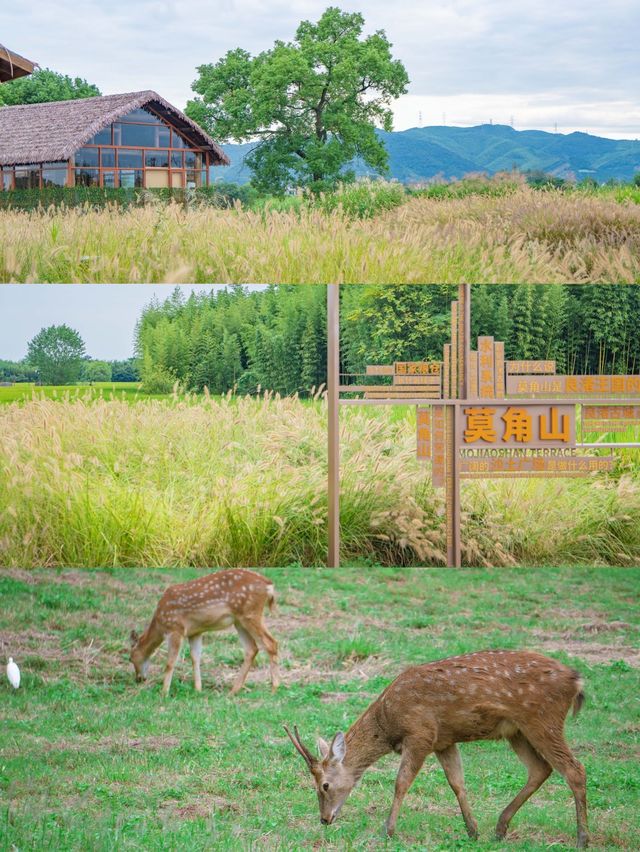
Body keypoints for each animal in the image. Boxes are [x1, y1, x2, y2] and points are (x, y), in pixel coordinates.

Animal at [130, 568, 280, 696]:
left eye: (130, 658)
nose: (138, 679)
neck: (159, 624)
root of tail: (269, 586)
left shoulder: (175, 628)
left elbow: (170, 662)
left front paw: (164, 693)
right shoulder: (195, 632)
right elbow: (195, 658)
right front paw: (198, 689)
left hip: (250, 614)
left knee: (271, 643)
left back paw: (274, 689)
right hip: (239, 621)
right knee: (252, 649)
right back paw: (233, 691)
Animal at [288, 652, 588, 844]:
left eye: (324, 785)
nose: (324, 819)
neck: (389, 723)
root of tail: (577, 681)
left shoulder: (420, 734)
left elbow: (401, 782)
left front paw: (387, 831)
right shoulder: (444, 741)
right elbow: (457, 783)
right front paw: (472, 830)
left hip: (543, 720)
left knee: (575, 769)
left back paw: (582, 838)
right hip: (517, 731)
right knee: (541, 769)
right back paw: (500, 828)